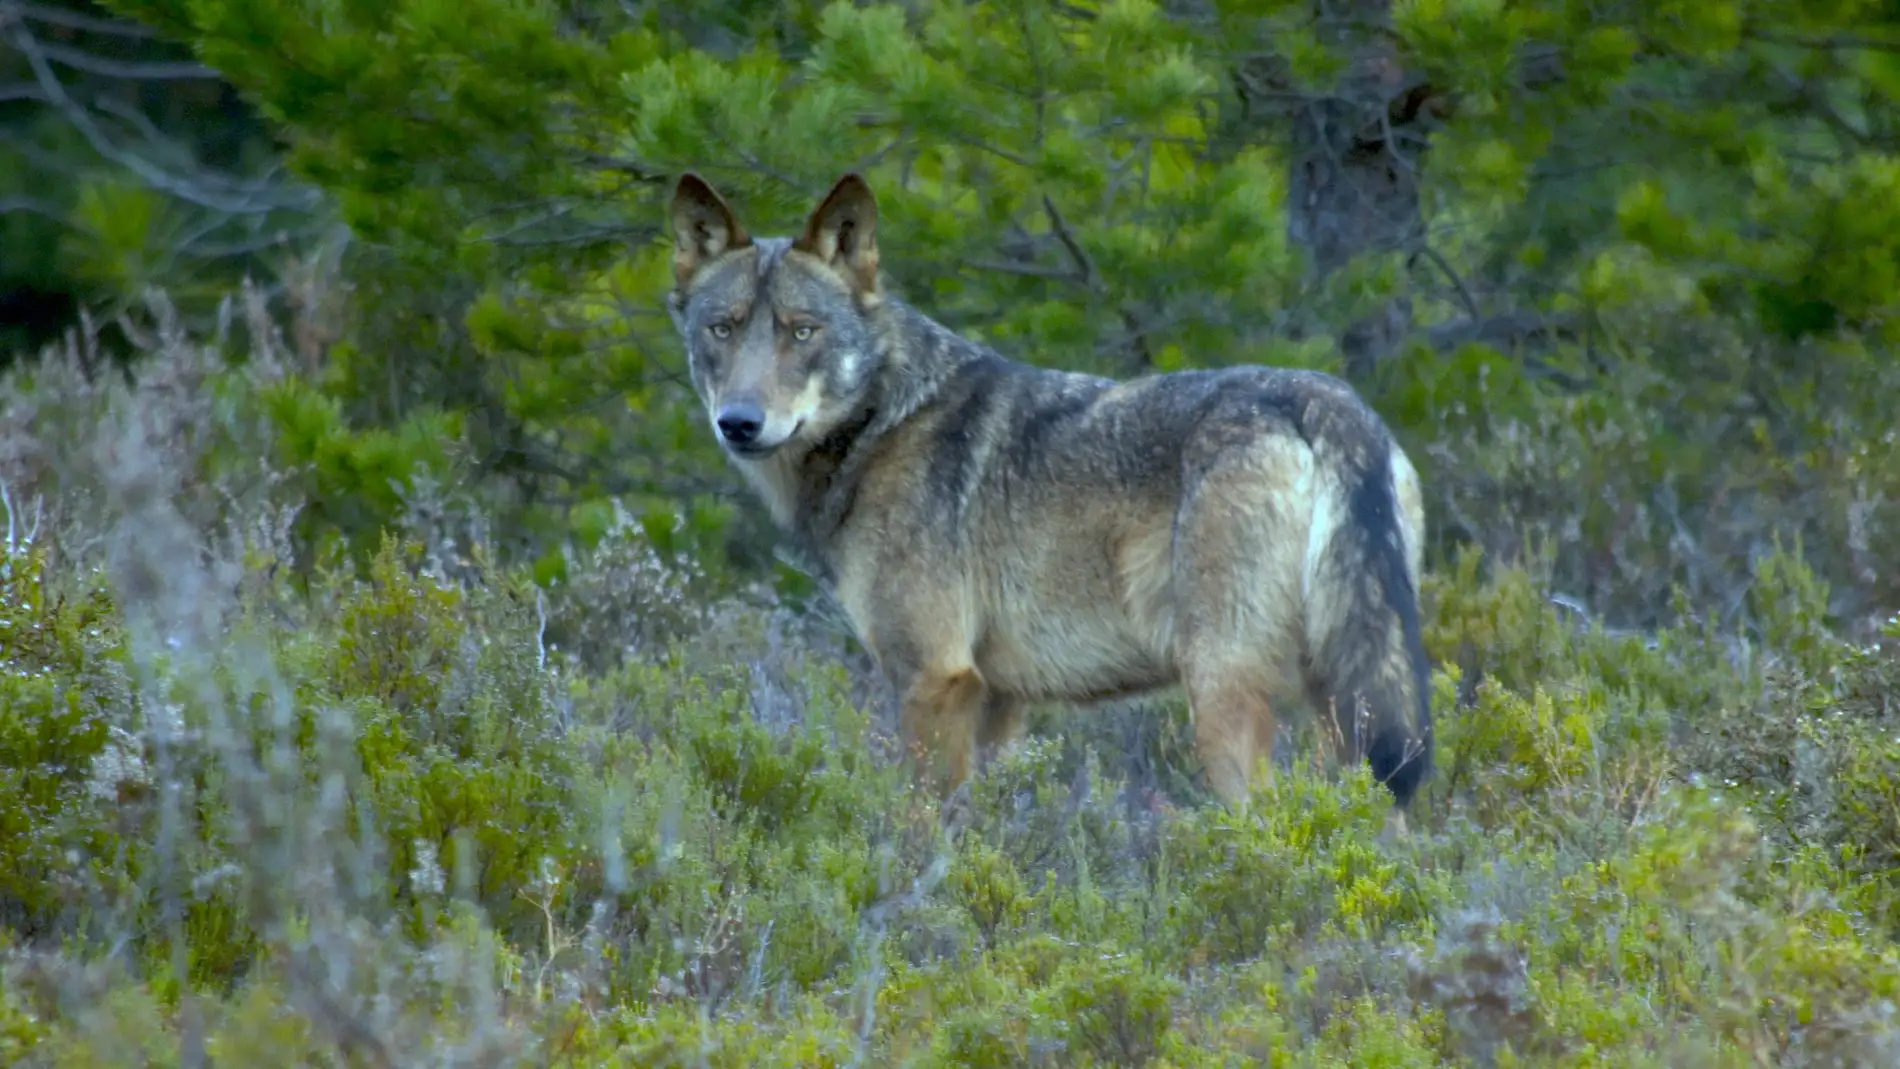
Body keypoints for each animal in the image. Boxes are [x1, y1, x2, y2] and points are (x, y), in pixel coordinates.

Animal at [661, 171, 1428, 816]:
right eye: (722, 328)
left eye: (802, 332)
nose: (739, 423)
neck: (884, 422)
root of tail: (1326, 399)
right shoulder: (1000, 701)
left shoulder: (933, 680)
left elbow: (917, 831)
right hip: (1344, 710)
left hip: (1223, 698)